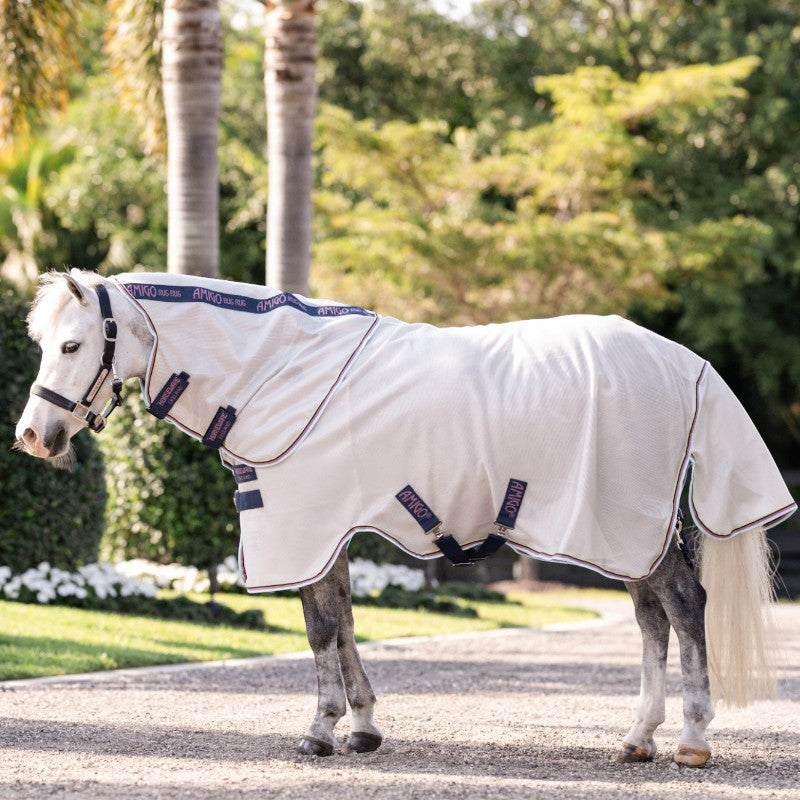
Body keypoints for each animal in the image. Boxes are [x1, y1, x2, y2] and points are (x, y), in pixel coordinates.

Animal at [14, 269, 796, 767]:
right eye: (44, 344)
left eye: (74, 344)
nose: (32, 436)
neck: (279, 370)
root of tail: (685, 363)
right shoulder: (328, 531)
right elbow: (344, 622)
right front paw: (362, 728)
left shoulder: (303, 524)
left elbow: (320, 628)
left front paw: (321, 731)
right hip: (629, 534)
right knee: (652, 619)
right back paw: (639, 737)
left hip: (626, 525)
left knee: (684, 606)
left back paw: (692, 741)